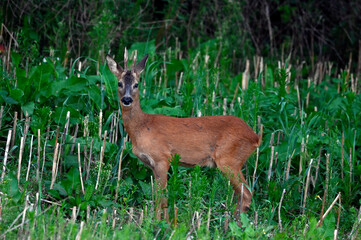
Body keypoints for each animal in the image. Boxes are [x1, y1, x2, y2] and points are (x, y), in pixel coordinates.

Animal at [105, 50, 260, 219]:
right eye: (119, 83)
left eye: (136, 84)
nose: (127, 99)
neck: (142, 127)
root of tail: (255, 137)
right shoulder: (153, 165)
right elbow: (160, 196)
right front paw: (163, 221)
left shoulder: (162, 158)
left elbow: (161, 197)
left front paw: (157, 223)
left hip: (229, 160)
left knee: (247, 193)